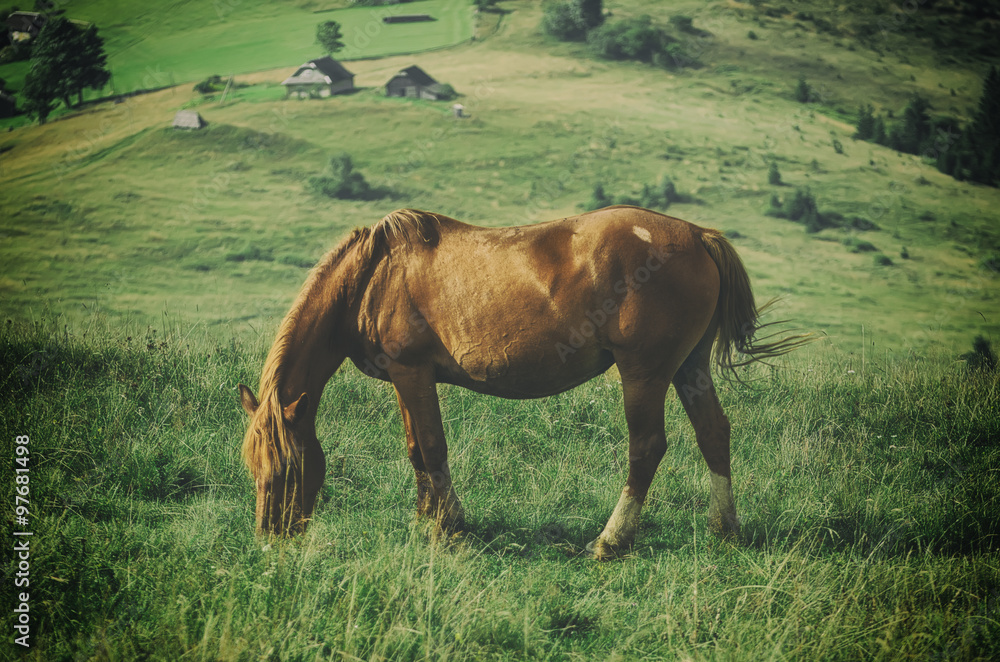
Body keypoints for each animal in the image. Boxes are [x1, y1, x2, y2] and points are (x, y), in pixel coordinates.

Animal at [238, 208, 808, 560]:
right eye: (253, 467)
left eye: (287, 468)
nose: (269, 539)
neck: (374, 277)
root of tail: (696, 236)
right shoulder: (404, 379)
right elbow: (416, 449)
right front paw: (427, 518)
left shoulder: (412, 372)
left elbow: (432, 447)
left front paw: (448, 527)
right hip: (689, 367)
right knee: (714, 433)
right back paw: (725, 529)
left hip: (643, 373)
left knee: (647, 447)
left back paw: (611, 540)